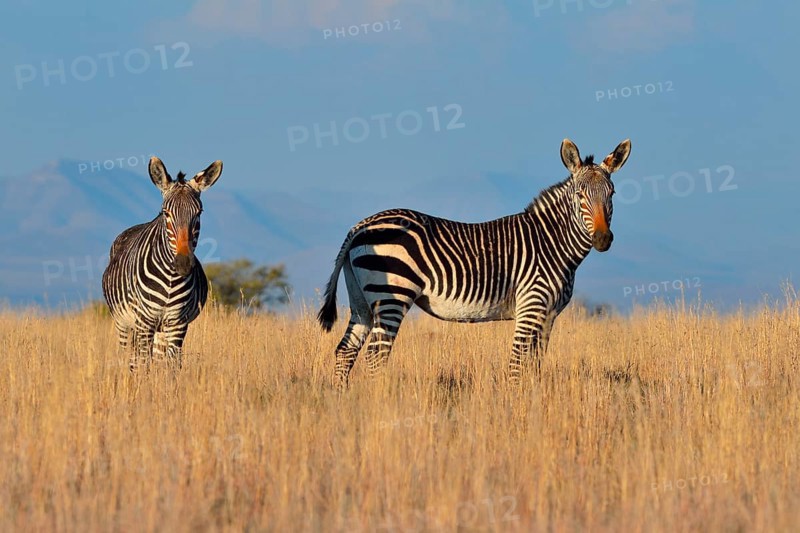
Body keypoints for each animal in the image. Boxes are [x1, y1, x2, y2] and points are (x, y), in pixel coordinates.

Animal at [102, 156, 222, 369]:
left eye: (199, 212)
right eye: (166, 213)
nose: (183, 264)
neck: (170, 279)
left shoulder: (177, 323)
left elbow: (171, 367)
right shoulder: (145, 321)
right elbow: (143, 364)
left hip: (159, 330)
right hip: (123, 322)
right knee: (129, 359)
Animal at [318, 138, 631, 387]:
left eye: (612, 193)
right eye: (579, 195)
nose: (603, 239)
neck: (551, 242)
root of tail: (359, 226)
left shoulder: (548, 315)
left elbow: (535, 365)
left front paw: (533, 399)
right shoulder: (531, 306)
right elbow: (517, 364)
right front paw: (516, 406)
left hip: (361, 299)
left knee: (346, 351)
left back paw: (343, 400)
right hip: (392, 296)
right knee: (375, 356)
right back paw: (381, 402)